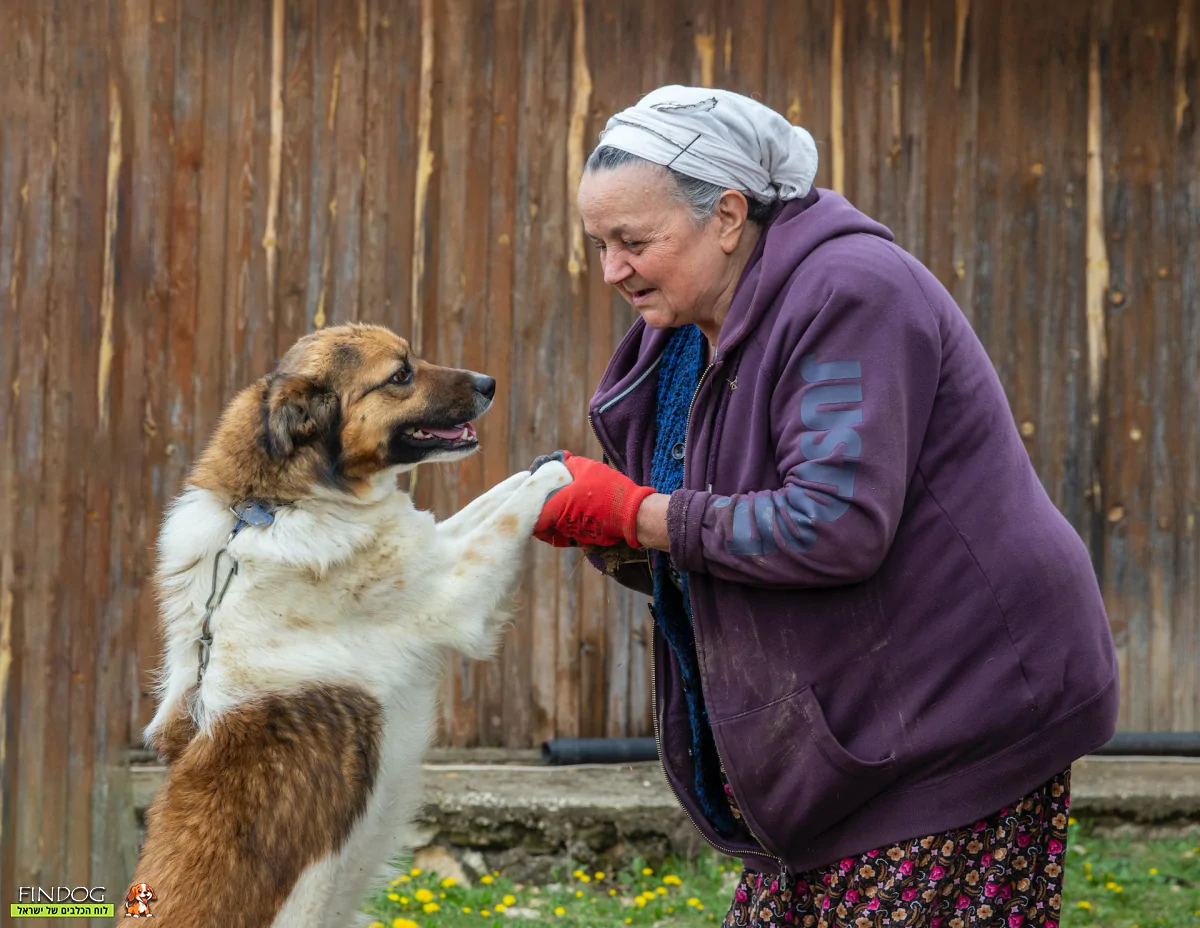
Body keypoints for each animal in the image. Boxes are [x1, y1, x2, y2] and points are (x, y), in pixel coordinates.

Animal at [129, 321, 568, 921]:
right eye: (400, 374)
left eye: (414, 358)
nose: (489, 383)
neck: (275, 506)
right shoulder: (455, 591)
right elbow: (508, 514)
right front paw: (558, 473)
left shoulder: (433, 546)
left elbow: (488, 501)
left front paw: (539, 464)